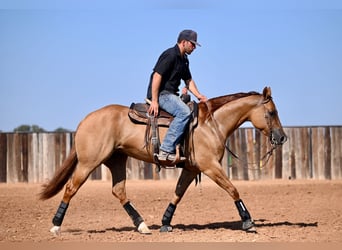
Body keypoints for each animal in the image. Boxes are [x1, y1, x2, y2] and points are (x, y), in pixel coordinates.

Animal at [39, 87, 286, 235]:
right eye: (272, 112)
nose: (282, 137)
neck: (210, 124)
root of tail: (85, 120)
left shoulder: (190, 169)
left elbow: (177, 194)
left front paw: (166, 222)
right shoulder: (210, 167)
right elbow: (233, 189)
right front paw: (248, 222)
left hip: (116, 161)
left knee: (119, 191)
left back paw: (142, 225)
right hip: (88, 163)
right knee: (71, 188)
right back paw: (55, 226)